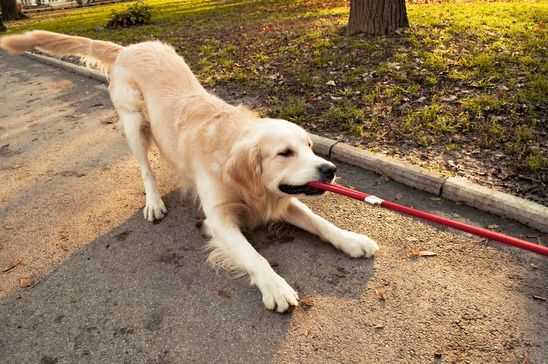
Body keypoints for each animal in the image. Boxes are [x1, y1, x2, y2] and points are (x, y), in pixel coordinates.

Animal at [0, 29, 378, 312]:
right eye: (284, 153)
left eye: (310, 146)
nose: (330, 169)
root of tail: (129, 47)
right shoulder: (220, 219)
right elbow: (254, 256)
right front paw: (275, 286)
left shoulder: (277, 198)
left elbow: (320, 222)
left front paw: (352, 240)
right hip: (133, 123)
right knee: (145, 169)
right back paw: (153, 202)